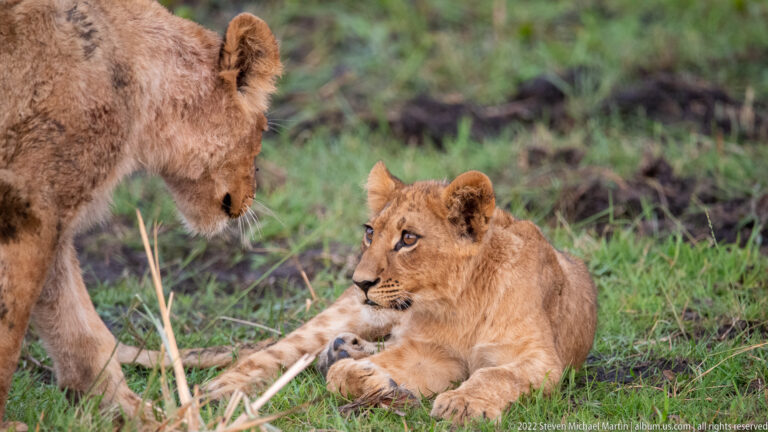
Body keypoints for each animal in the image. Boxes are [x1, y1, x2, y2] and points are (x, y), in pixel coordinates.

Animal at [0, 0, 281, 424]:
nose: (249, 198)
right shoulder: (30, 202)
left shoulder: (49, 210)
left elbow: (78, 323)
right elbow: (12, 326)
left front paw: (130, 412)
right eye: (262, 129)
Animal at [202, 162, 598, 424]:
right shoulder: (432, 353)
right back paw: (213, 394)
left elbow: (498, 374)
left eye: (408, 238)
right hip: (345, 316)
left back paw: (345, 348)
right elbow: (340, 376)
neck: (459, 303)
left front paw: (462, 405)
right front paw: (367, 377)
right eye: (370, 232)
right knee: (269, 354)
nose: (359, 282)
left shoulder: (542, 360)